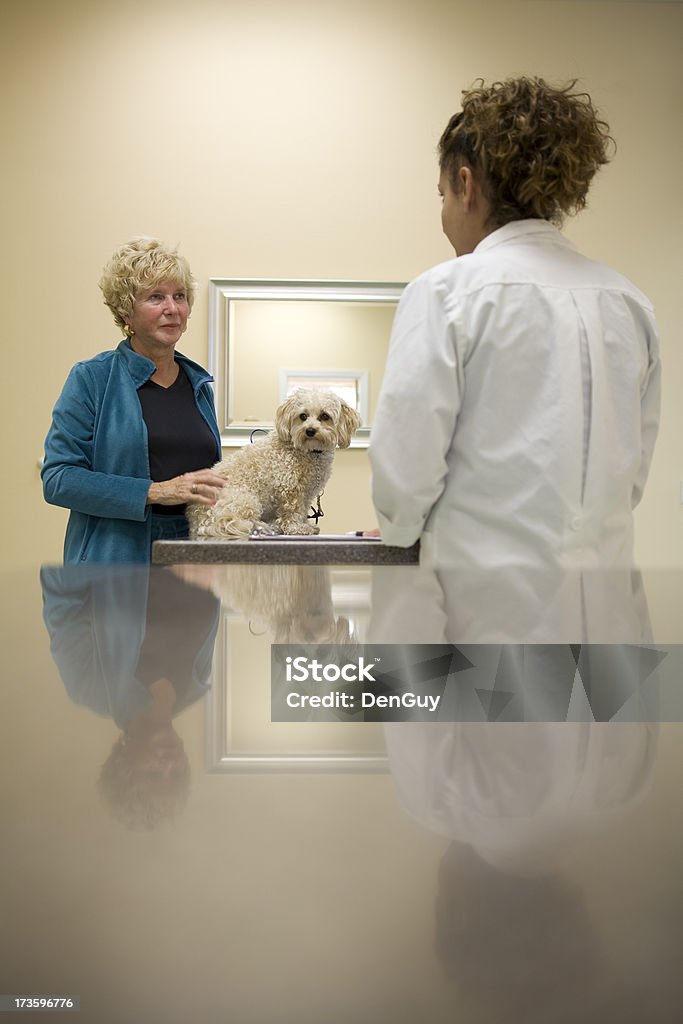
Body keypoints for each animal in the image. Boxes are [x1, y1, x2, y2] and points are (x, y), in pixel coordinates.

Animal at [184, 387, 360, 540]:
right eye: (303, 416)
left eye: (324, 416)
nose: (310, 431)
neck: (307, 451)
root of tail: (197, 520)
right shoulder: (290, 487)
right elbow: (292, 511)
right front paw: (297, 528)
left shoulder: (306, 493)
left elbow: (302, 510)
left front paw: (305, 524)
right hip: (246, 500)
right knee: (236, 523)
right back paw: (267, 527)